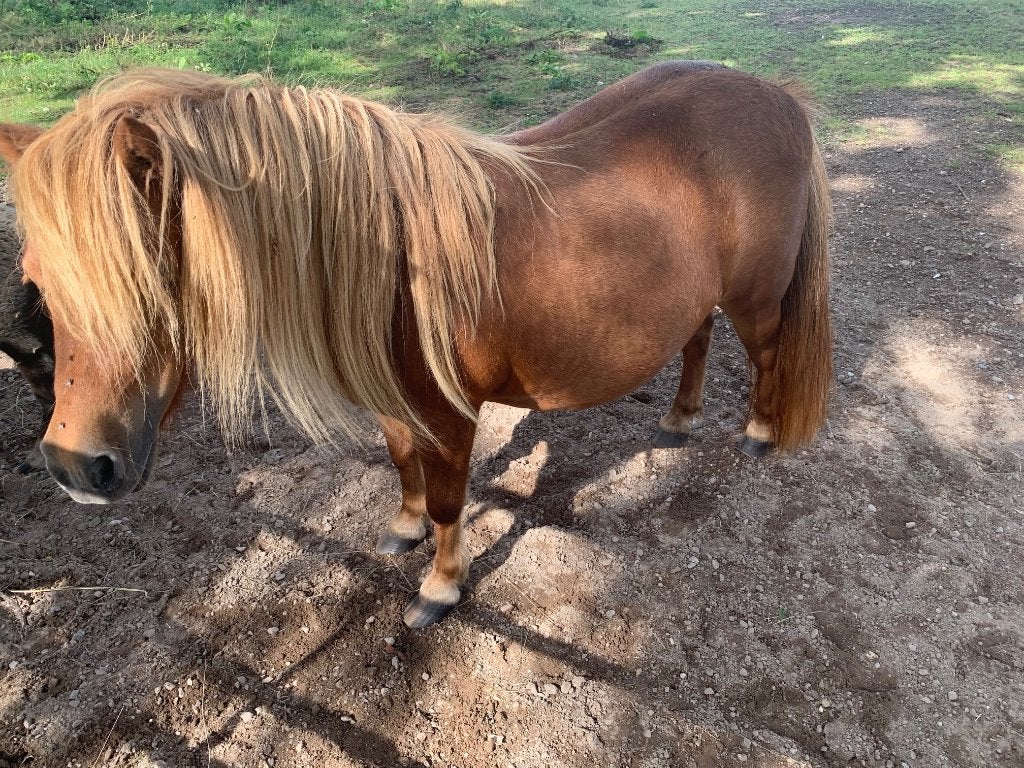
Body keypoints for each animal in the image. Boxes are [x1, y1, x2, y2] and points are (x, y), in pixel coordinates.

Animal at [0, 61, 832, 628]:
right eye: (36, 278)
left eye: (146, 282)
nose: (74, 464)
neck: (394, 261)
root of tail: (774, 95)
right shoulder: (395, 405)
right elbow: (402, 467)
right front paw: (400, 531)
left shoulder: (452, 417)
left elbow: (447, 501)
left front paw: (439, 587)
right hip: (696, 297)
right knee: (696, 341)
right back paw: (679, 420)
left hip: (757, 300)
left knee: (763, 359)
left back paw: (757, 436)